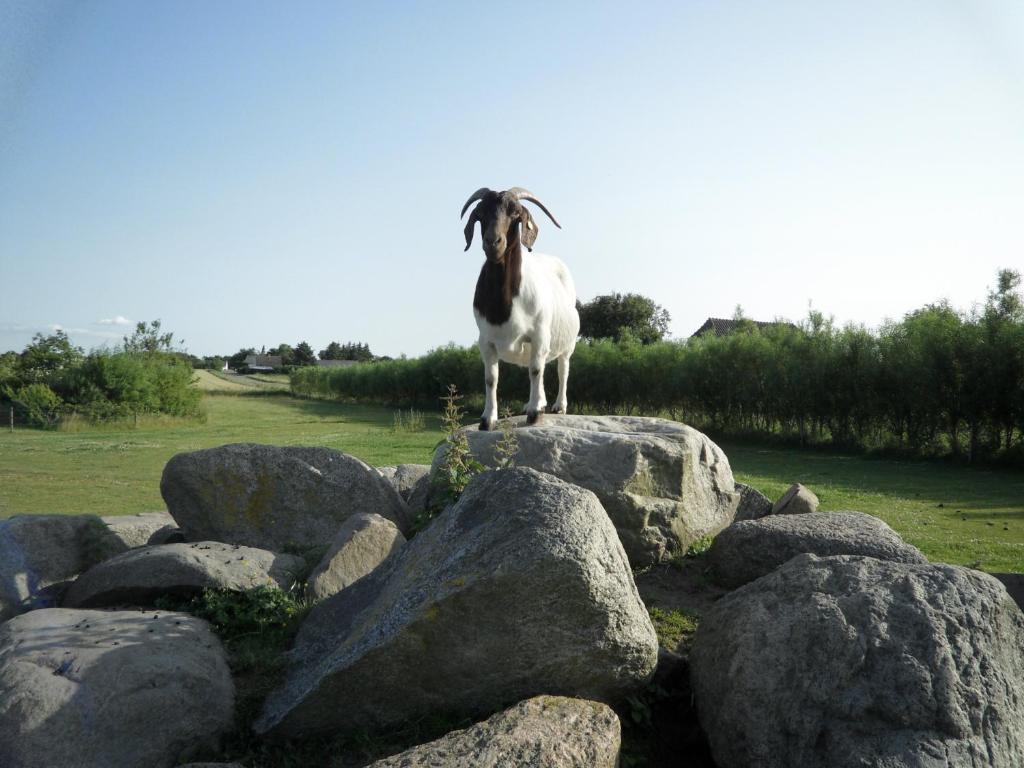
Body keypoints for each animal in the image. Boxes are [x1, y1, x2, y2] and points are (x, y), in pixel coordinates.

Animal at [460, 184, 581, 430]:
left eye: (515, 213)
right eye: (480, 213)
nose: (492, 242)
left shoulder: (539, 333)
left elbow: (535, 371)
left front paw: (534, 414)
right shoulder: (486, 341)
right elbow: (491, 378)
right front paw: (487, 419)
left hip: (567, 343)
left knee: (562, 369)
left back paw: (558, 406)